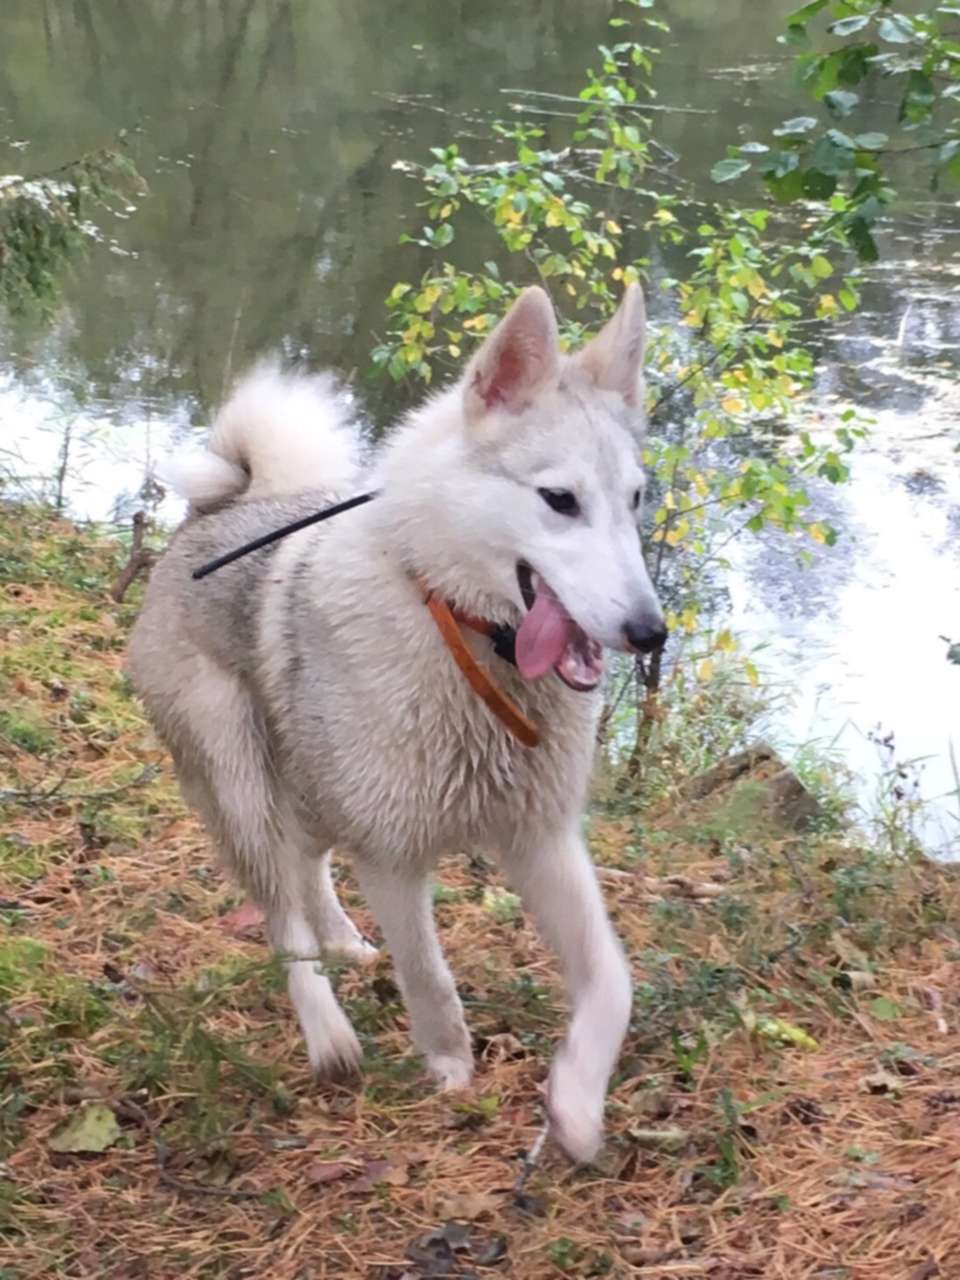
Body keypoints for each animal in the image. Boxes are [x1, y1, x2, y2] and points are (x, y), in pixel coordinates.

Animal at [128, 285, 670, 1167]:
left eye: (634, 501)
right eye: (559, 501)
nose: (651, 632)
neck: (466, 639)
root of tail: (226, 501)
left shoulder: (542, 841)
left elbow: (611, 982)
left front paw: (577, 1102)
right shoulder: (393, 857)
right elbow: (430, 974)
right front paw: (451, 1066)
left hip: (310, 783)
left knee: (307, 868)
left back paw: (342, 939)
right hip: (238, 775)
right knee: (279, 912)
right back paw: (328, 1033)